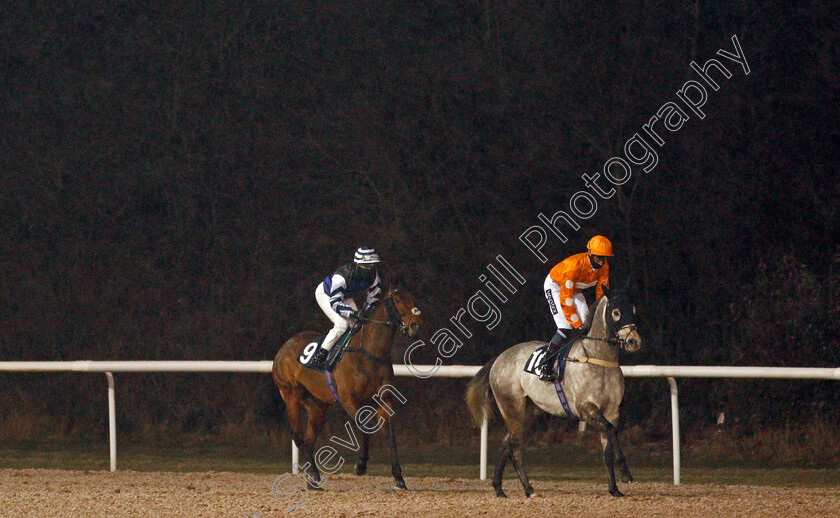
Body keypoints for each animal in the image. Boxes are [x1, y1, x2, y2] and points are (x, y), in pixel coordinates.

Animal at [274, 288, 424, 492]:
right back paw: (315, 474)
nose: (416, 324)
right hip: (290, 394)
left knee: (308, 439)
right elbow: (365, 426)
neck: (369, 353)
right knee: (297, 434)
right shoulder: (349, 400)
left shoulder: (384, 400)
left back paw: (312, 480)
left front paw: (398, 477)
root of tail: (282, 349)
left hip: (317, 406)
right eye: (399, 300)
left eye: (413, 298)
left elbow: (389, 435)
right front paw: (360, 466)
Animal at [466, 290, 644, 498]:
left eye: (633, 310)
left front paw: (614, 488)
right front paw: (625, 472)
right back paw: (528, 489)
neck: (598, 358)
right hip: (511, 406)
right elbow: (610, 430)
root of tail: (498, 359)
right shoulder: (586, 409)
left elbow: (608, 446)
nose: (634, 341)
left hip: (528, 411)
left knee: (506, 443)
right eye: (616, 312)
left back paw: (499, 487)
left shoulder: (612, 411)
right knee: (514, 446)